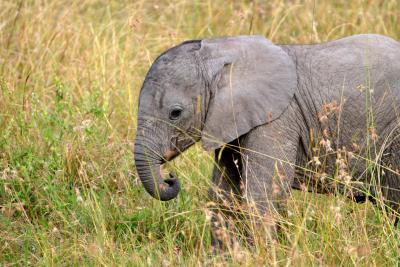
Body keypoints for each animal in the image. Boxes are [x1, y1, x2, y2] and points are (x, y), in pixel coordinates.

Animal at [134, 34, 400, 249]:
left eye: (175, 113)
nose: (170, 177)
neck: (222, 50)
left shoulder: (277, 120)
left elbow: (261, 195)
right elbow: (223, 195)